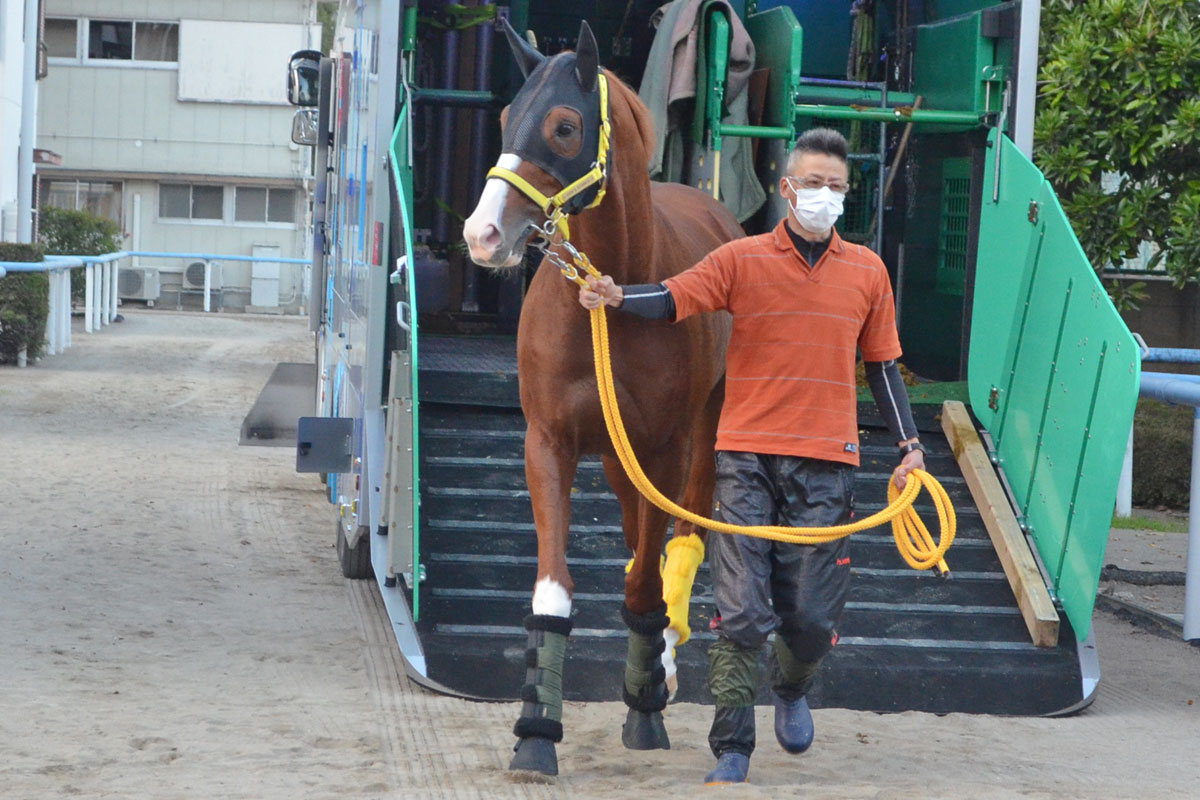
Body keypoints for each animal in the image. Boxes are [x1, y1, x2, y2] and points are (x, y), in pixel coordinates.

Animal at [462, 20, 742, 776]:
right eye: (506, 115)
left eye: (563, 126)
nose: (482, 235)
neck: (611, 302)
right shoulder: (549, 443)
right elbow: (555, 591)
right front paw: (535, 732)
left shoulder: (666, 451)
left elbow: (646, 581)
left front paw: (646, 702)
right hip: (619, 463)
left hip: (699, 442)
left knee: (682, 539)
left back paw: (665, 663)